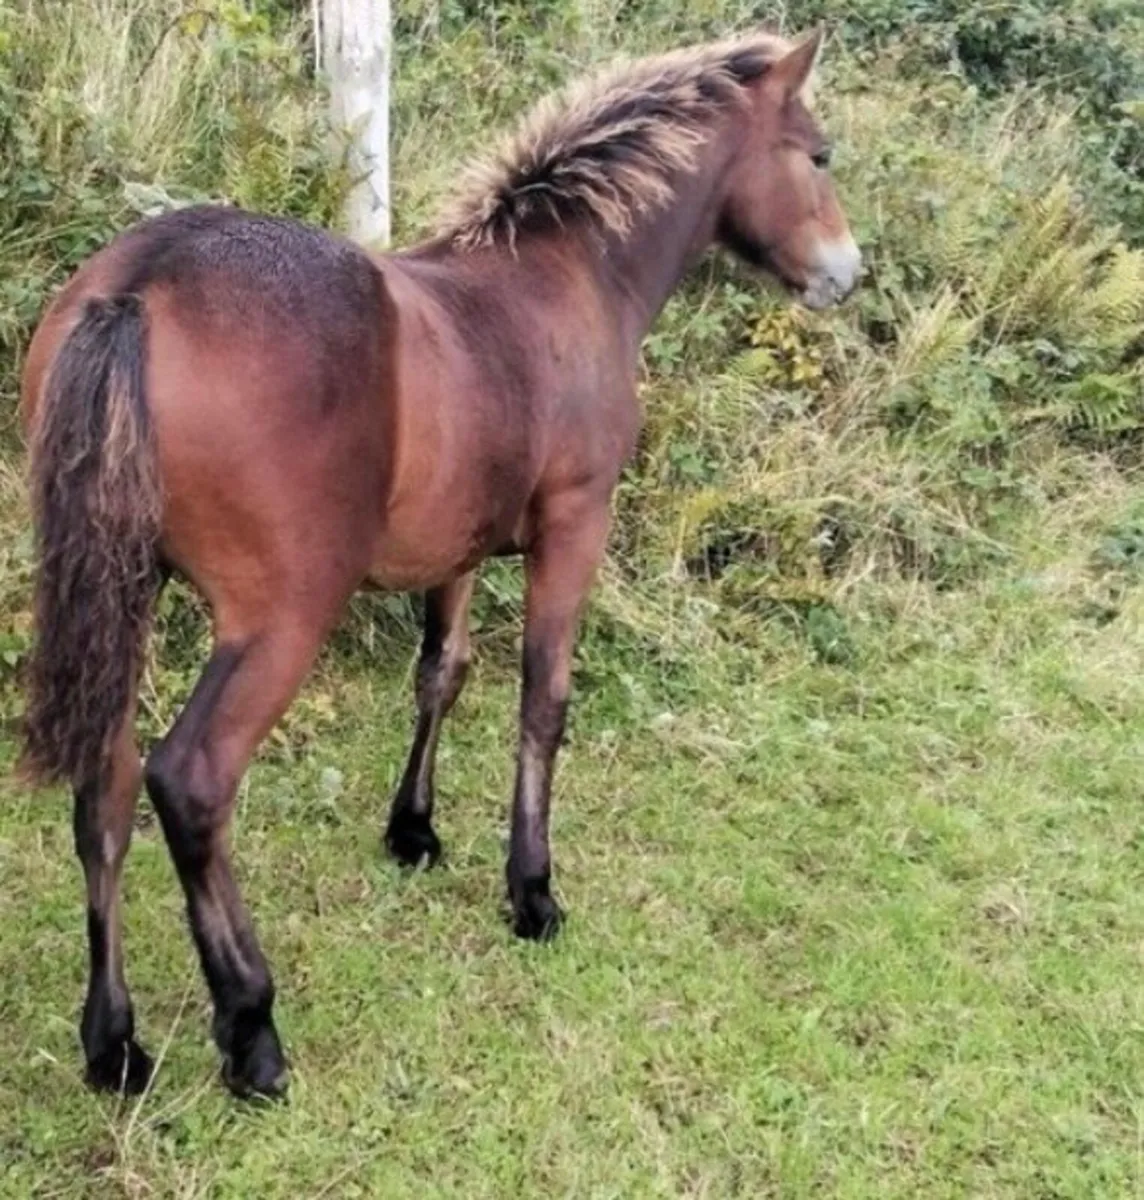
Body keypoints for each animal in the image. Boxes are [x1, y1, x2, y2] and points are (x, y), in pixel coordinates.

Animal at [18, 27, 861, 1099]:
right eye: (818, 153)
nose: (846, 272)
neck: (566, 277)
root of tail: (138, 286)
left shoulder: (458, 544)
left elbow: (442, 674)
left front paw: (412, 830)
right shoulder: (575, 527)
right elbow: (544, 700)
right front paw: (532, 891)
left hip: (122, 591)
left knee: (108, 787)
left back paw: (113, 1042)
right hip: (279, 617)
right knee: (191, 780)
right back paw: (252, 1026)